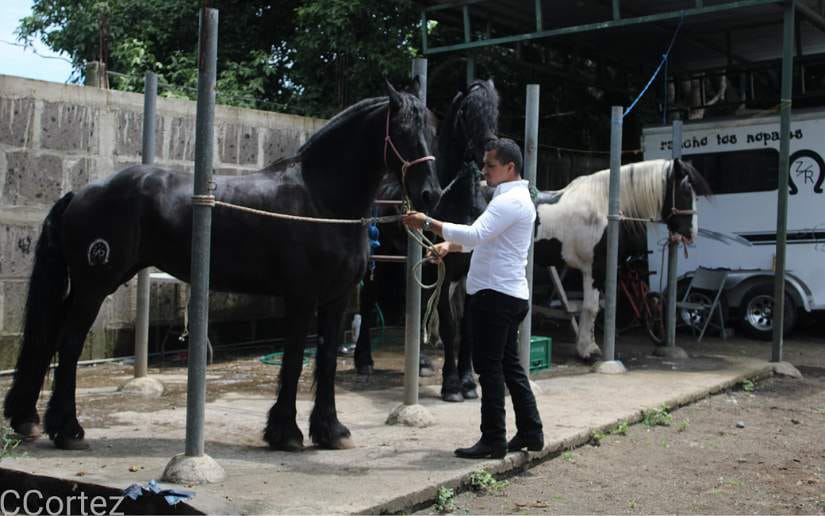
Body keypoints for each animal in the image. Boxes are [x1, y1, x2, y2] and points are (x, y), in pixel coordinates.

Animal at [3, 80, 441, 451]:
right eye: (402, 130)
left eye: (432, 129)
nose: (430, 194)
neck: (321, 201)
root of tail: (80, 193)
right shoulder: (301, 298)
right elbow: (294, 361)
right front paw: (285, 433)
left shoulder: (334, 301)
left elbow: (328, 361)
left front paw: (330, 431)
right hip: (95, 285)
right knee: (68, 342)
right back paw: (67, 429)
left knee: (50, 338)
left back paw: (29, 419)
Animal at [353, 79, 497, 402]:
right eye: (467, 112)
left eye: (496, 107)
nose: (488, 149)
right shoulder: (438, 271)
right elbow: (449, 327)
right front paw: (452, 385)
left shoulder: (469, 273)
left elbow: (467, 328)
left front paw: (468, 382)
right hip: (378, 261)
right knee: (368, 301)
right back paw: (364, 361)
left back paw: (419, 363)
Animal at [534, 158, 711, 360]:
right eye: (685, 190)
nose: (691, 234)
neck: (602, 208)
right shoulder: (594, 270)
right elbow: (591, 307)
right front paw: (588, 350)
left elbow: (594, 307)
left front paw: (586, 347)